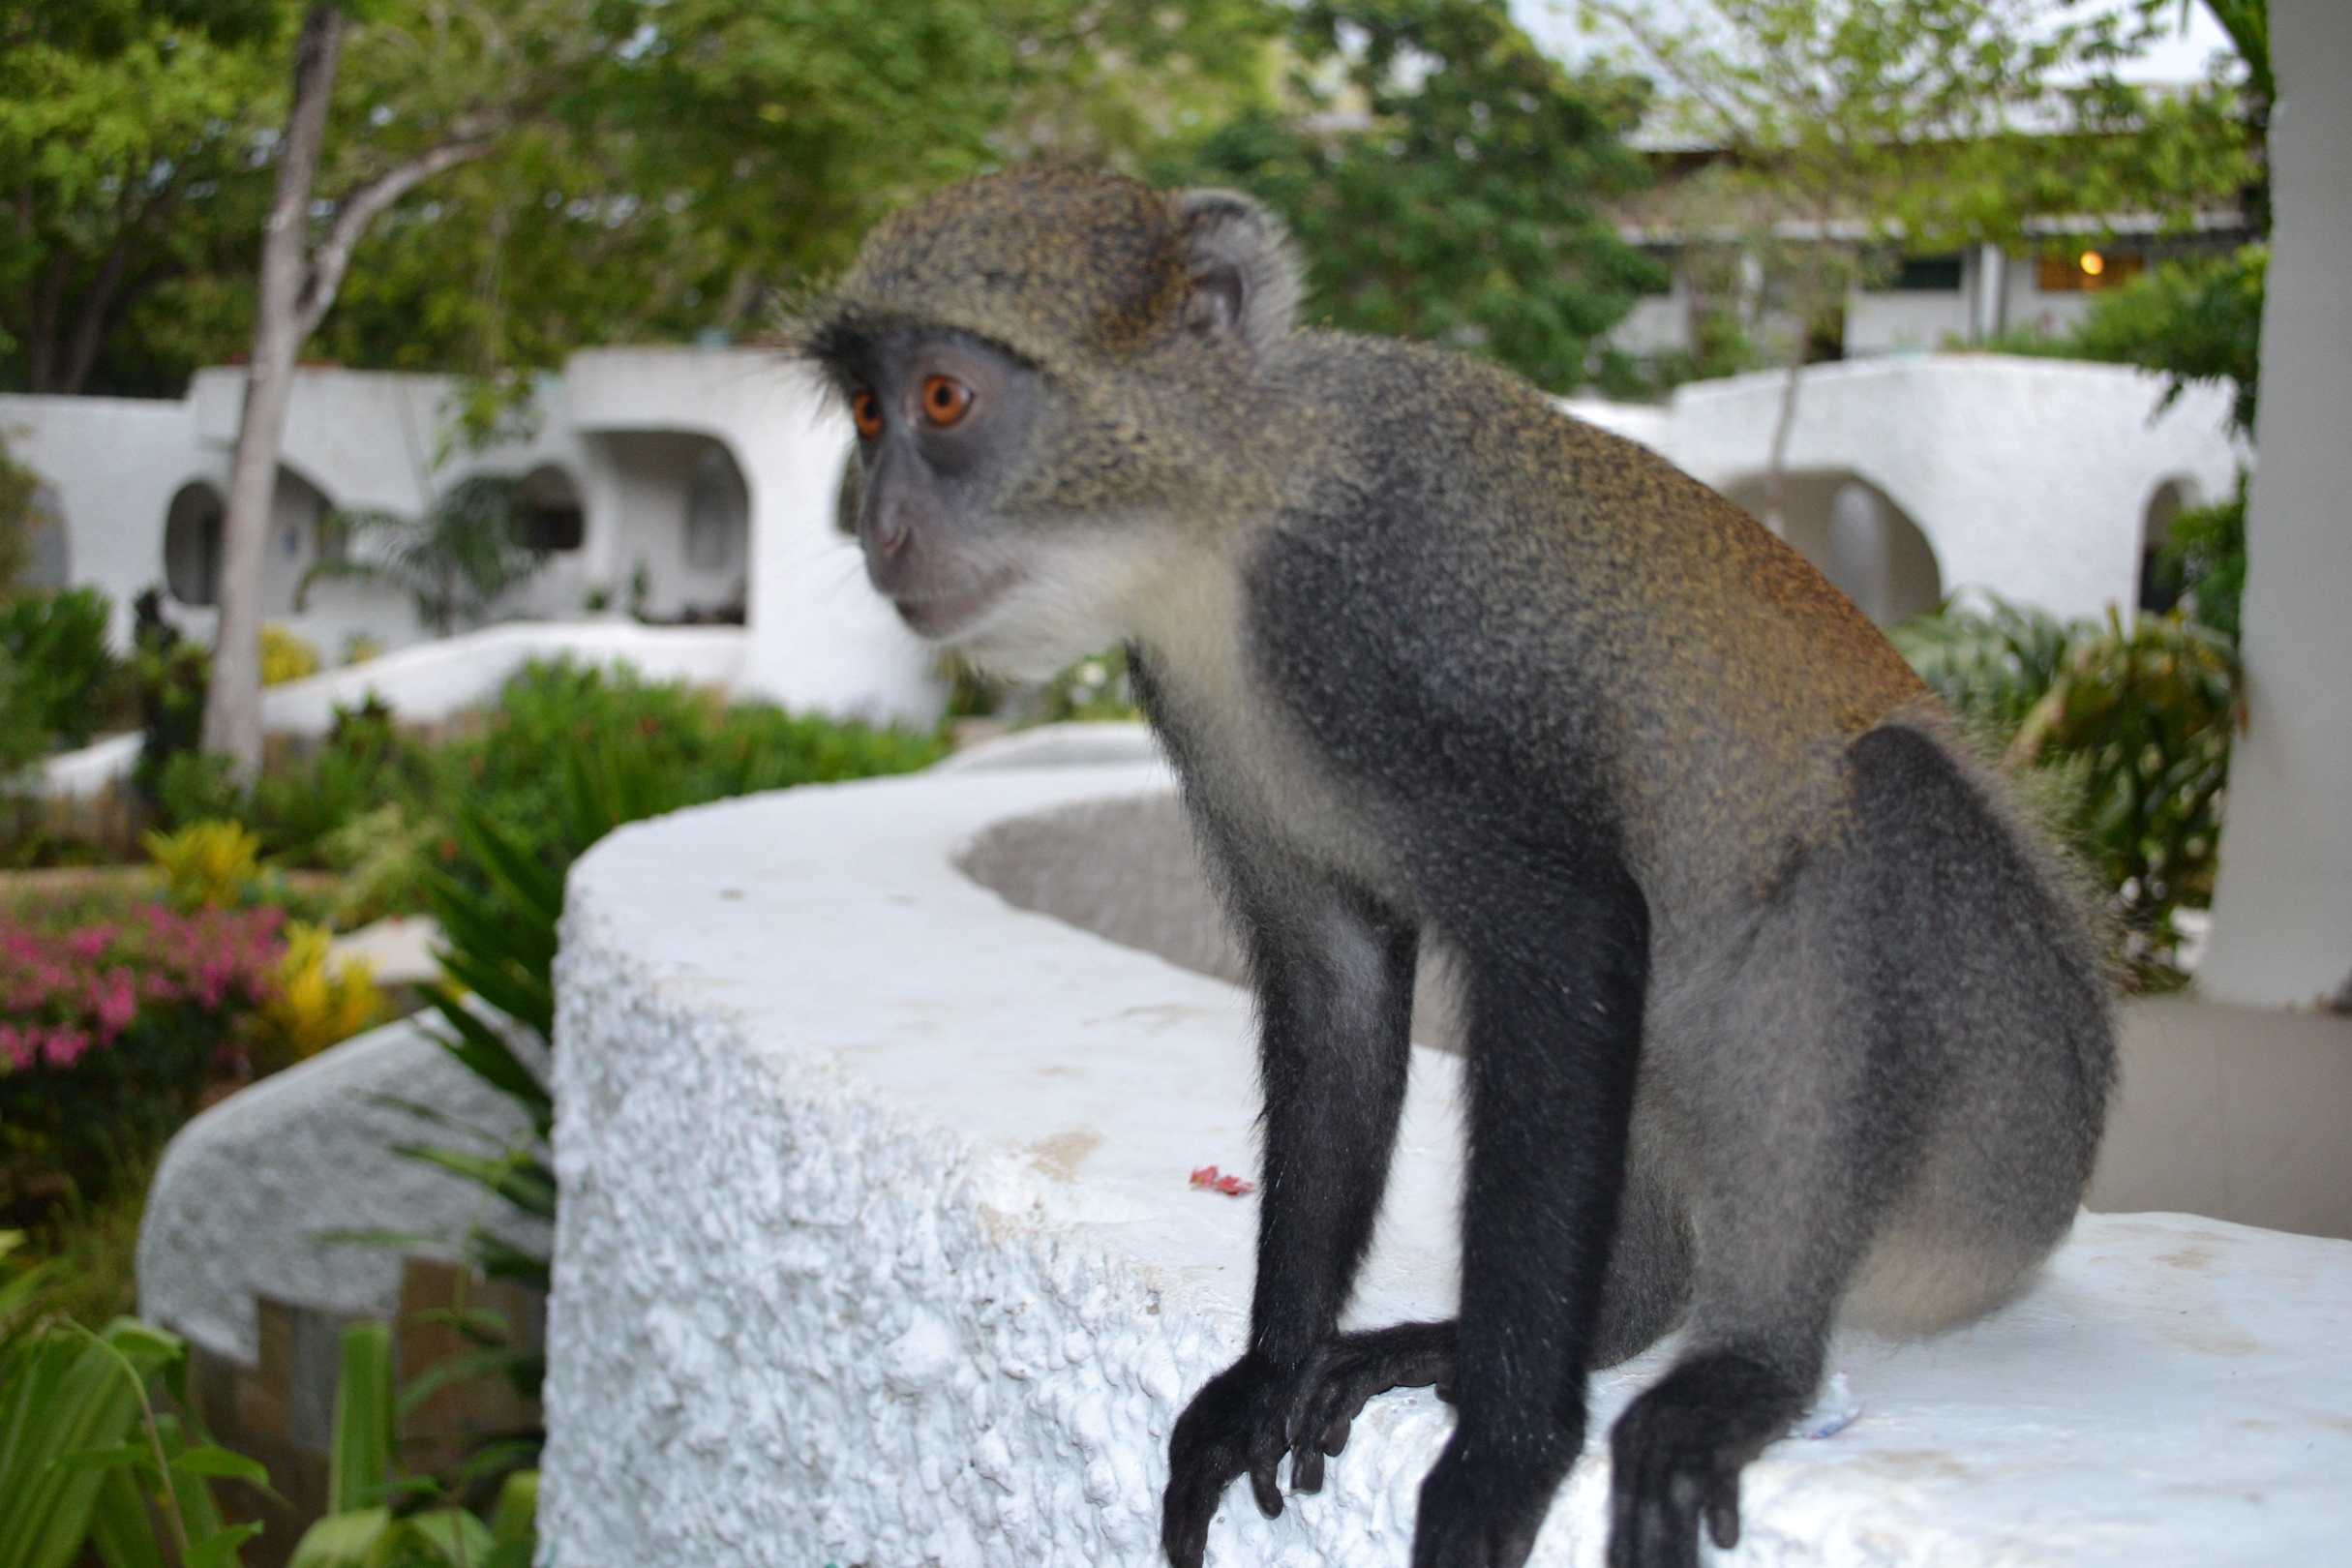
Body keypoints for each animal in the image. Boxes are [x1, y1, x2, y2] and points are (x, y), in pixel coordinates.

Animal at [792, 169, 2115, 1568]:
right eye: (868, 412)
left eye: (944, 399)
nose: (879, 525)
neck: (1230, 522)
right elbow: (1336, 985)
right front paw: (1274, 1371)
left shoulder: (1371, 621)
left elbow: (1572, 931)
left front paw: (1507, 1449)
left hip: (2010, 1127)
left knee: (1890, 812)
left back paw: (1750, 1366)